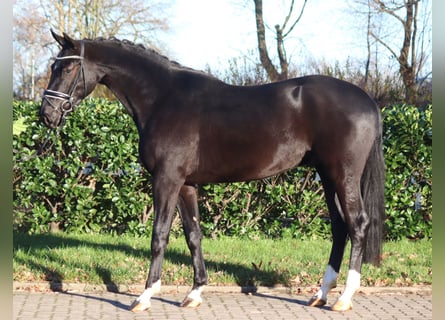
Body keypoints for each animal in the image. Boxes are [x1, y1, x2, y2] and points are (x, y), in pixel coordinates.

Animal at [40, 31, 384, 312]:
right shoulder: (186, 184)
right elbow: (193, 235)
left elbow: (159, 235)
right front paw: (194, 293)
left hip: (343, 175)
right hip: (327, 176)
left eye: (66, 68)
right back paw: (321, 293)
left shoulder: (166, 180)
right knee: (339, 227)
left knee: (357, 224)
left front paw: (144, 297)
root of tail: (367, 101)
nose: (47, 114)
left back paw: (344, 298)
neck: (163, 99)